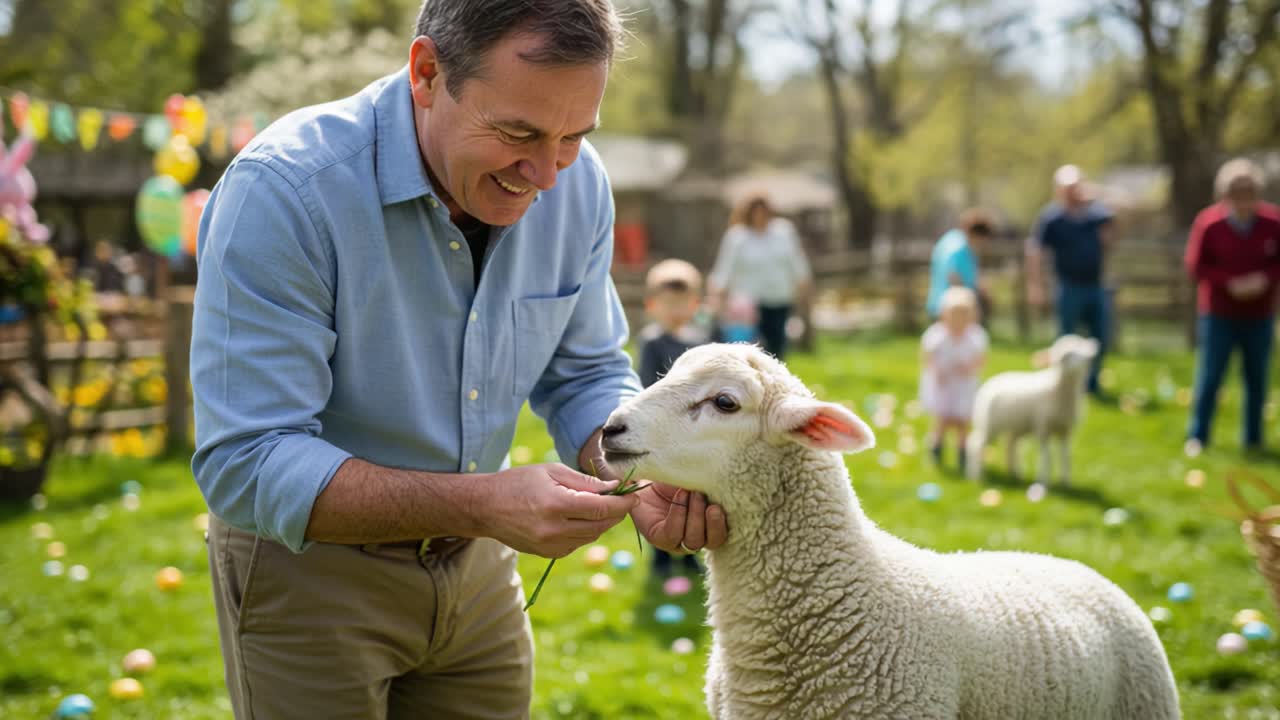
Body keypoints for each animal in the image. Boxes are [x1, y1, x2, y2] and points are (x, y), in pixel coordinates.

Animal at [965, 334, 1099, 485]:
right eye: (1067, 355)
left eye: (1082, 349)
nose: (1086, 359)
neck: (1057, 389)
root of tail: (991, 382)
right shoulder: (1043, 427)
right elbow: (1047, 455)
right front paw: (1043, 480)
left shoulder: (1066, 431)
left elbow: (1065, 456)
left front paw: (1065, 481)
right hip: (990, 425)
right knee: (975, 444)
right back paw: (975, 475)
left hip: (1014, 427)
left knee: (1010, 446)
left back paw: (1014, 473)